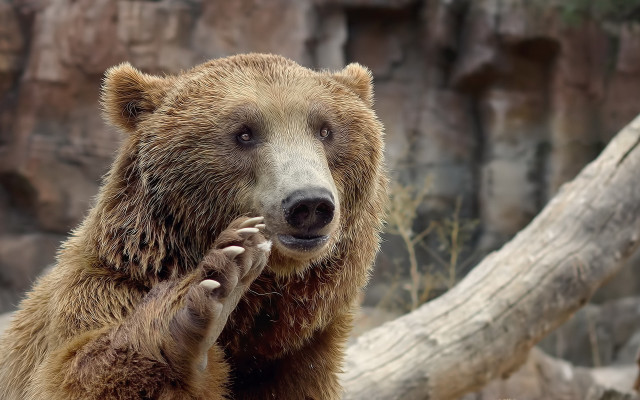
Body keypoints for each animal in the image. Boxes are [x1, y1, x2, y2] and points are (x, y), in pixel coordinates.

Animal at [0, 53, 387, 399]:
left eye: (325, 129)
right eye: (244, 133)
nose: (308, 204)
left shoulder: (304, 355)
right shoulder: (97, 292)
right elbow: (76, 374)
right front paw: (210, 290)